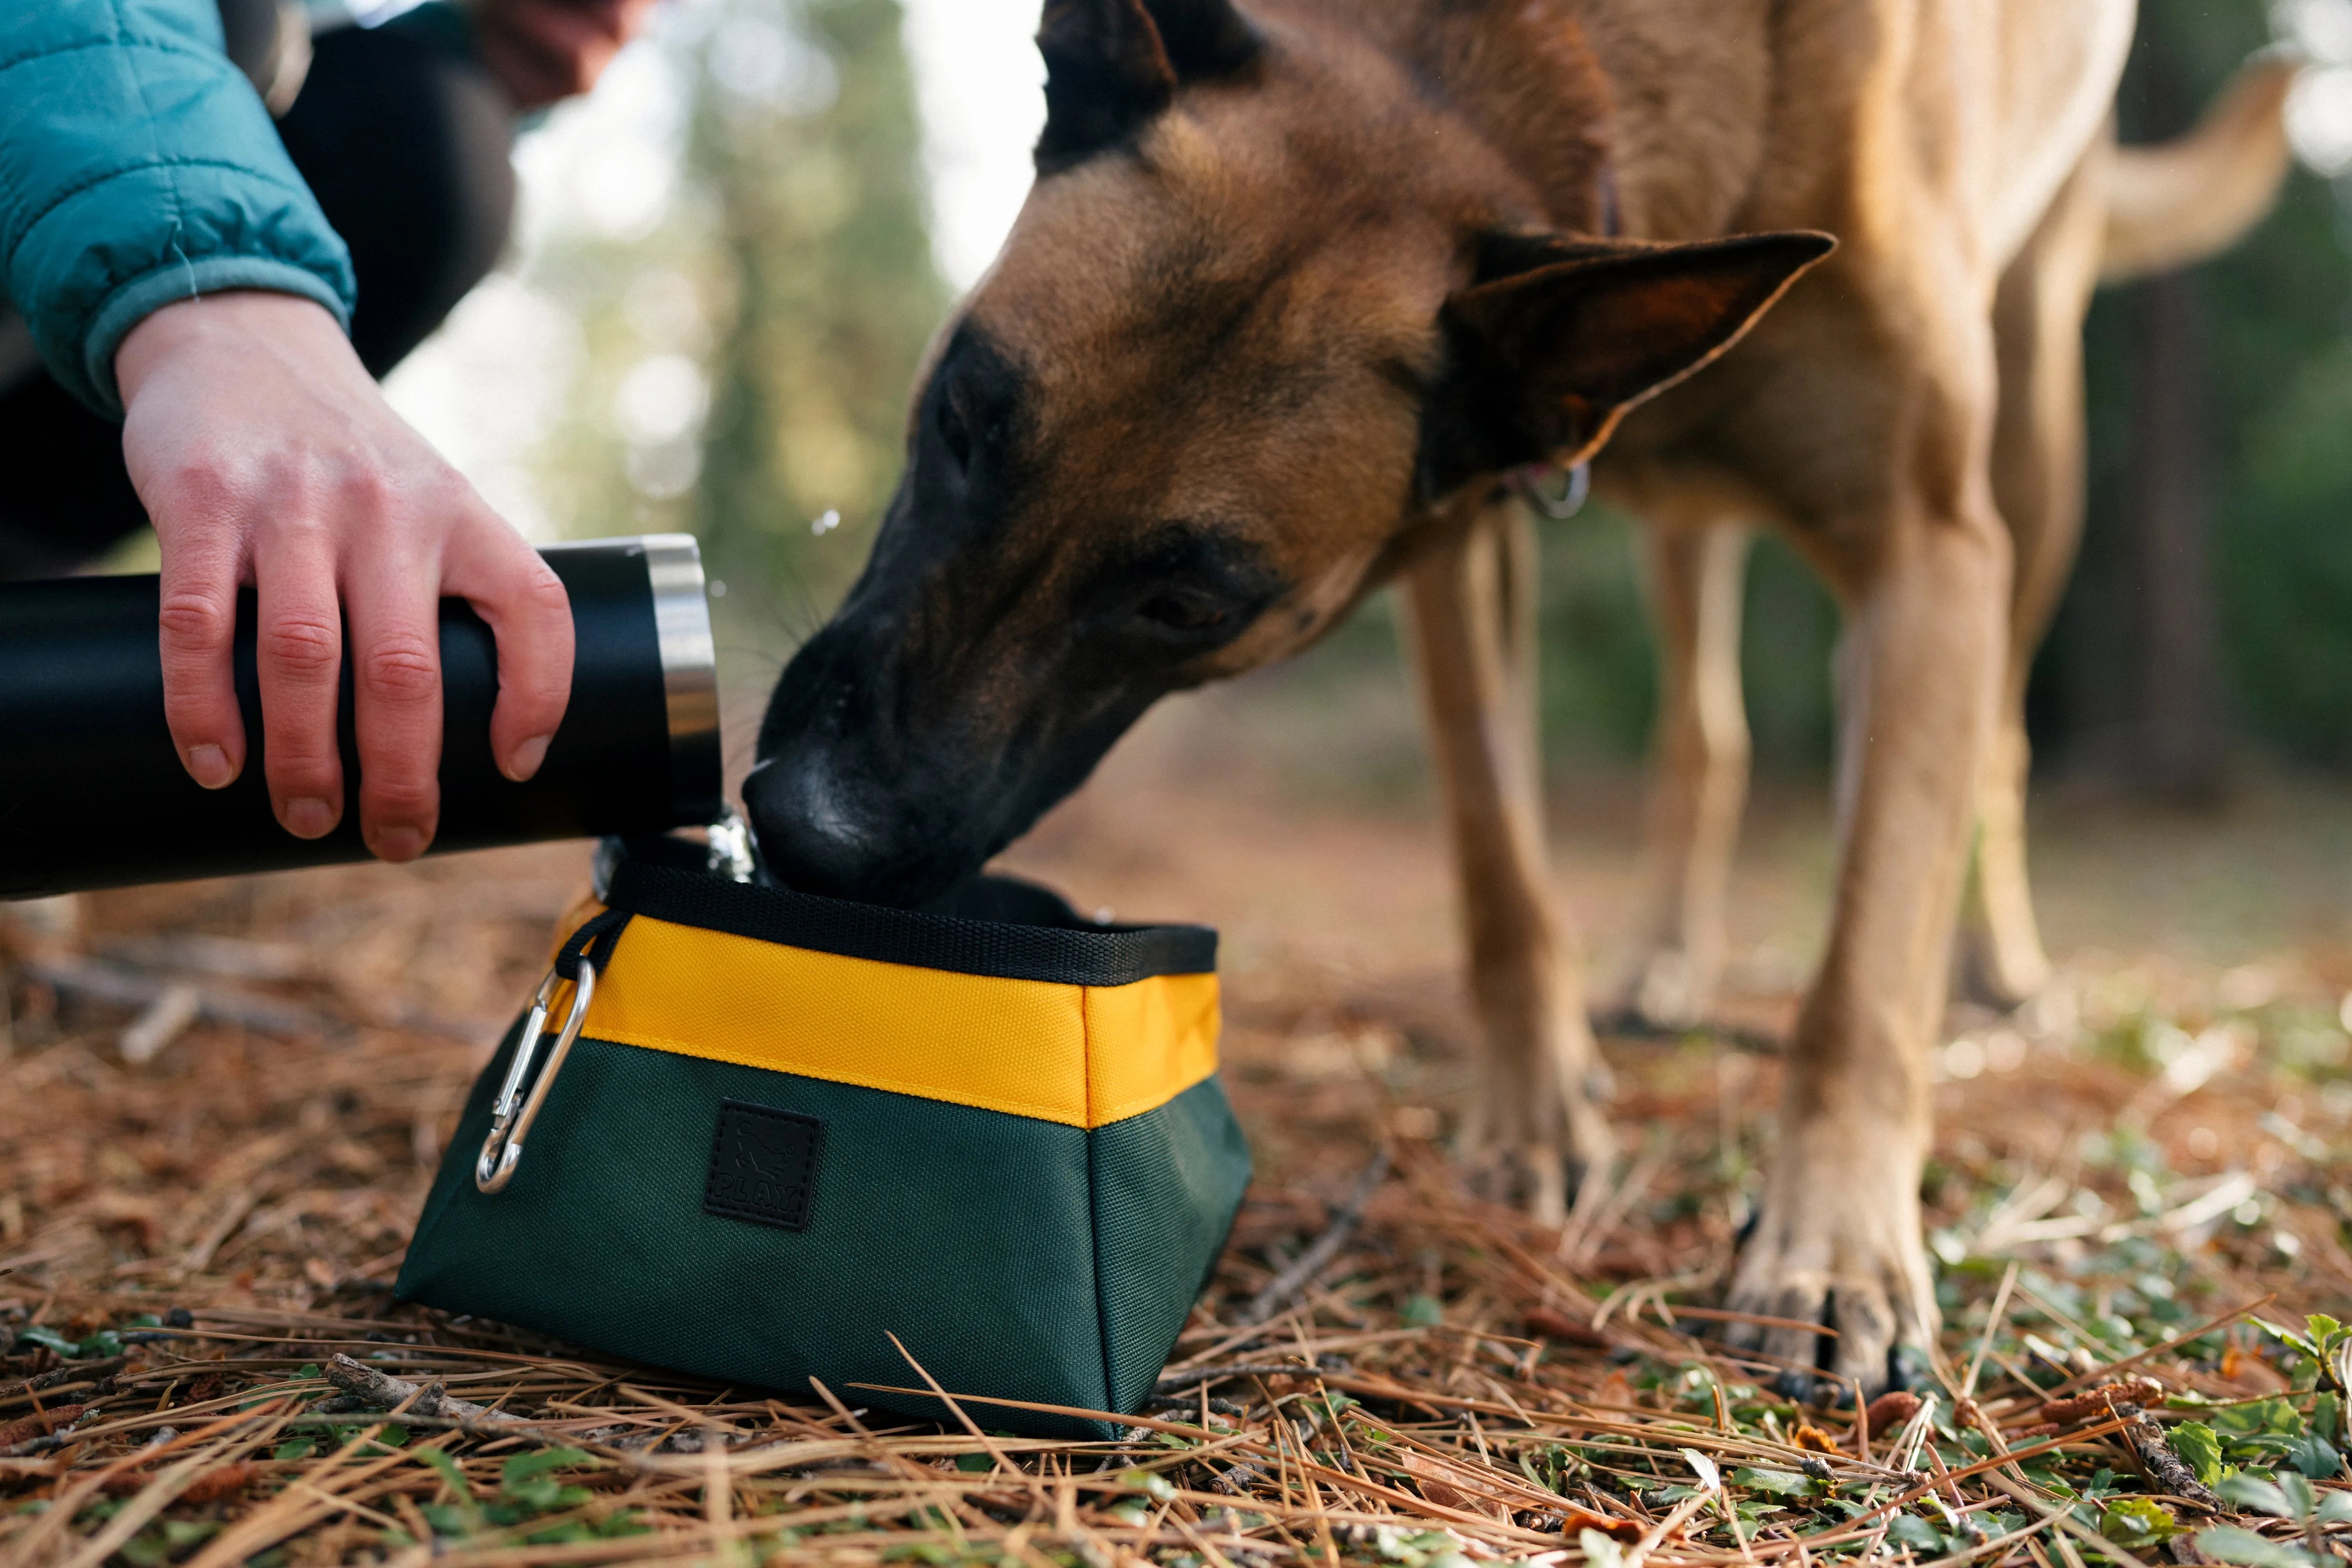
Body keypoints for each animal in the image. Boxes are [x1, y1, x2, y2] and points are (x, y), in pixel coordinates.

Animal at [753, 0, 2296, 1401]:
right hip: (1692, 530)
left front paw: (1834, 1243)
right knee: (1703, 736)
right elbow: (1502, 860)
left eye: (1188, 603)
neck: (1540, 48)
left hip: (2035, 452)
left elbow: (1863, 967)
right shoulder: (1461, 542)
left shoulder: (1928, 553)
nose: (809, 834)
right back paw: (1658, 968)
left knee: (1994, 749)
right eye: (963, 415)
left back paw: (1996, 964)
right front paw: (1536, 1110)